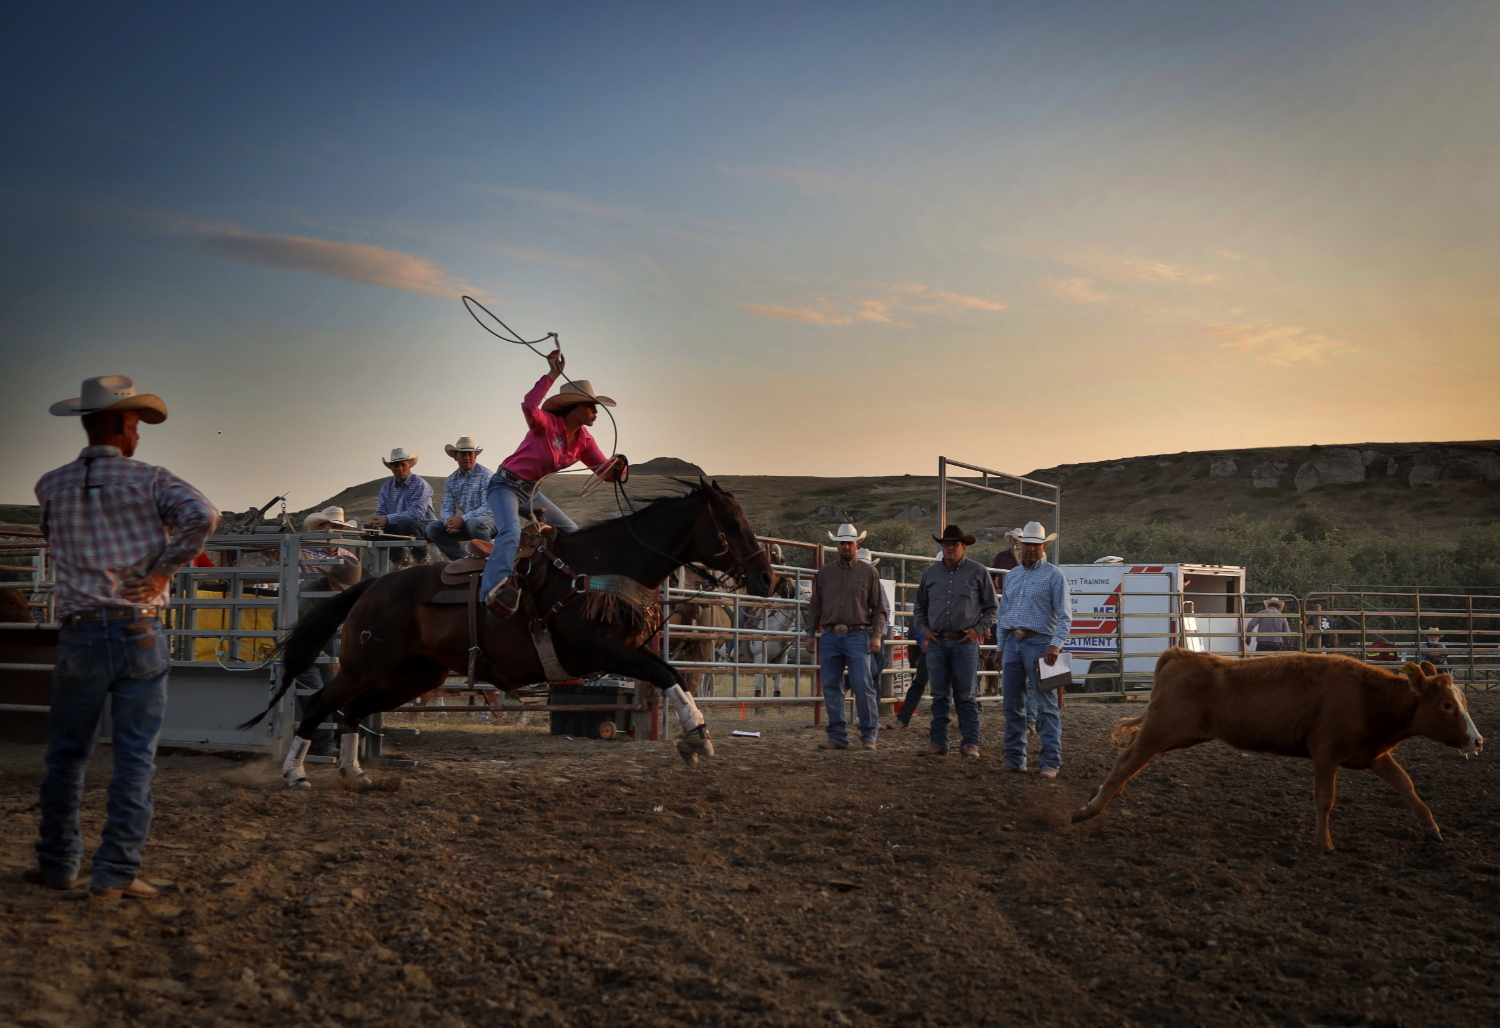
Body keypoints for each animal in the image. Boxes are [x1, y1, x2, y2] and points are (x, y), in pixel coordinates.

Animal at [241, 480, 774, 786]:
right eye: (731, 523)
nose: (769, 579)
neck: (597, 565)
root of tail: (372, 585)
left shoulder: (626, 648)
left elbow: (673, 673)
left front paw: (695, 736)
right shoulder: (599, 650)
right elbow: (668, 675)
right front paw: (698, 736)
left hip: (417, 675)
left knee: (353, 710)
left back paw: (353, 772)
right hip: (365, 665)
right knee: (321, 703)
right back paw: (295, 771)